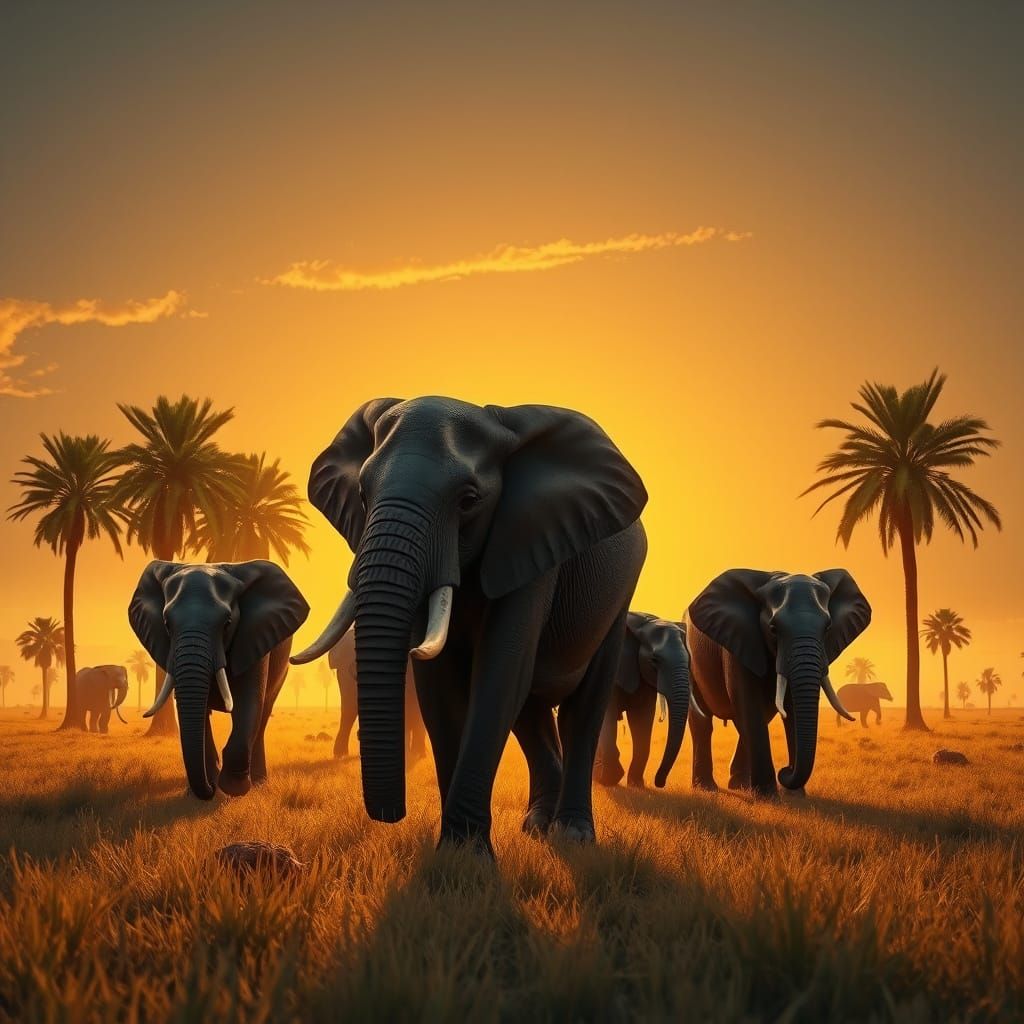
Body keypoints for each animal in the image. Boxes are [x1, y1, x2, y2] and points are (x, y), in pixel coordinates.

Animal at [128, 560, 309, 799]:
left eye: (227, 623)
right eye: (167, 624)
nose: (210, 790)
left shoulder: (254, 638)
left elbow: (248, 702)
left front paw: (233, 789)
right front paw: (208, 787)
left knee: (263, 713)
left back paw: (259, 783)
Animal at [595, 613, 699, 789]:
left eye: (688, 661)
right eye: (655, 660)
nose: (659, 782)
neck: (644, 622)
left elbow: (642, 719)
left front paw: (636, 785)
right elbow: (607, 716)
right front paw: (608, 780)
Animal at [686, 569, 871, 798]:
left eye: (827, 629)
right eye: (773, 629)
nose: (786, 771)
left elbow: (789, 709)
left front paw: (796, 796)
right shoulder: (739, 642)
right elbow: (749, 704)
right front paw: (768, 795)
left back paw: (740, 785)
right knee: (703, 722)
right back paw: (707, 788)